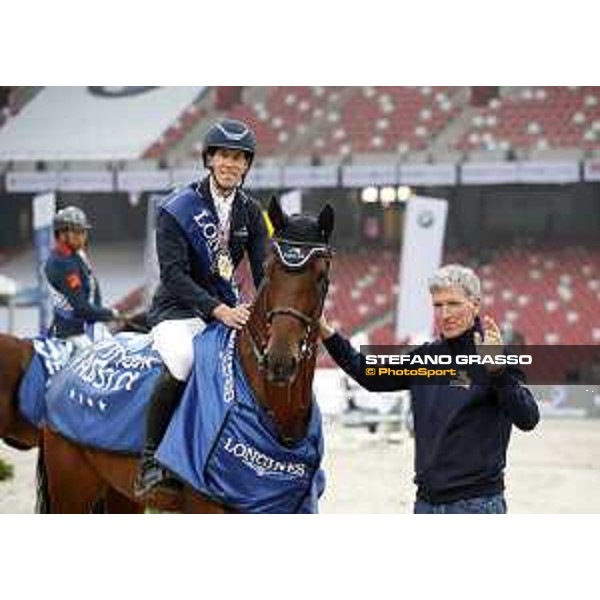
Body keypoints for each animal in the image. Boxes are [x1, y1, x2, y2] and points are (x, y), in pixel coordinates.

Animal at [40, 196, 336, 510]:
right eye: (269, 270)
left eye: (321, 276)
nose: (279, 361)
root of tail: (70, 365)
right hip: (72, 487)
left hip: (121, 494)